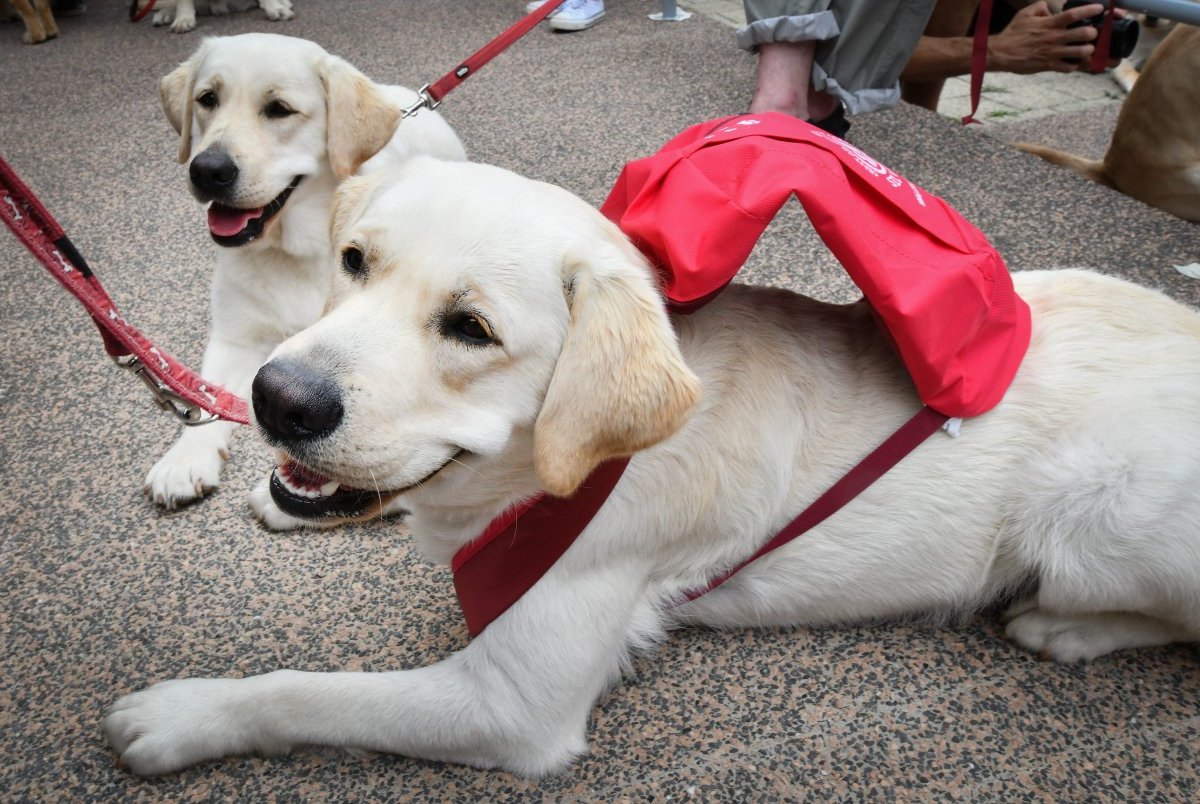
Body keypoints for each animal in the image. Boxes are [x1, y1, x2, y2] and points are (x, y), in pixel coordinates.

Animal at [105, 159, 1200, 782]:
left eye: (470, 329)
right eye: (353, 261)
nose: (276, 399)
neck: (551, 479)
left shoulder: (513, 703)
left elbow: (311, 691)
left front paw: (186, 713)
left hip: (1096, 521)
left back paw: (1065, 627)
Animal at [145, 34, 468, 511]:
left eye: (279, 109)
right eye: (207, 100)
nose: (207, 170)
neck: (295, 251)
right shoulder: (236, 337)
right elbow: (205, 396)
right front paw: (184, 459)